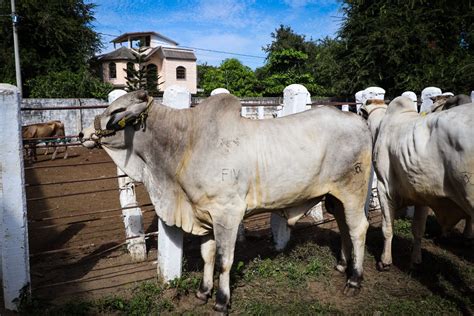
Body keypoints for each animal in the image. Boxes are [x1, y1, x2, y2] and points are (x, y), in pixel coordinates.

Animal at [79, 90, 372, 312]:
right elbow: (207, 255)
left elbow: (223, 259)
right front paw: (203, 291)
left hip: (352, 191)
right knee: (344, 226)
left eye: (118, 111)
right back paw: (342, 265)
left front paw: (221, 301)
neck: (186, 143)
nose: (82, 135)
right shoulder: (205, 215)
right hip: (334, 197)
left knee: (358, 228)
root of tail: (359, 121)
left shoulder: (227, 214)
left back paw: (355, 280)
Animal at [362, 96, 472, 270]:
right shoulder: (423, 195)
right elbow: (418, 229)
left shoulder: (384, 187)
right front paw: (416, 259)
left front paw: (385, 260)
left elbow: (387, 228)